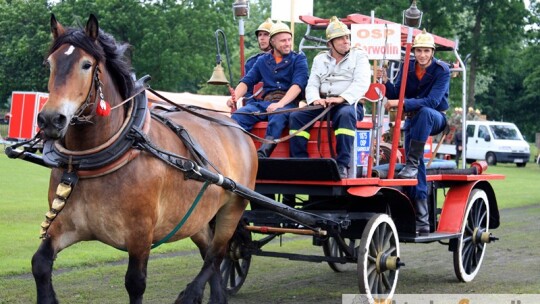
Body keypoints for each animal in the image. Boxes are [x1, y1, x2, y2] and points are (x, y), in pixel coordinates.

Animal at [34, 13, 258, 302]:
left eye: (86, 64)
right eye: (49, 63)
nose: (51, 119)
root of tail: (236, 127)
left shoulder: (140, 234)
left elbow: (135, 282)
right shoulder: (64, 224)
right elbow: (40, 263)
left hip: (233, 206)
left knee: (217, 254)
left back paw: (190, 293)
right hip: (196, 216)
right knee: (209, 251)